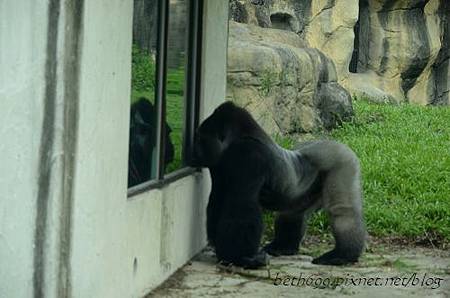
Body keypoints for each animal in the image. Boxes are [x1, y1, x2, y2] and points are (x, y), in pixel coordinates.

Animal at [191, 102, 366, 268]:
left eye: (201, 139)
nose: (194, 152)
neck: (239, 136)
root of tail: (338, 144)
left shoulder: (249, 154)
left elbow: (242, 203)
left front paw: (240, 257)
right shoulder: (218, 164)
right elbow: (218, 199)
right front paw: (227, 253)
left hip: (342, 160)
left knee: (343, 210)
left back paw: (343, 255)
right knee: (293, 213)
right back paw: (283, 247)